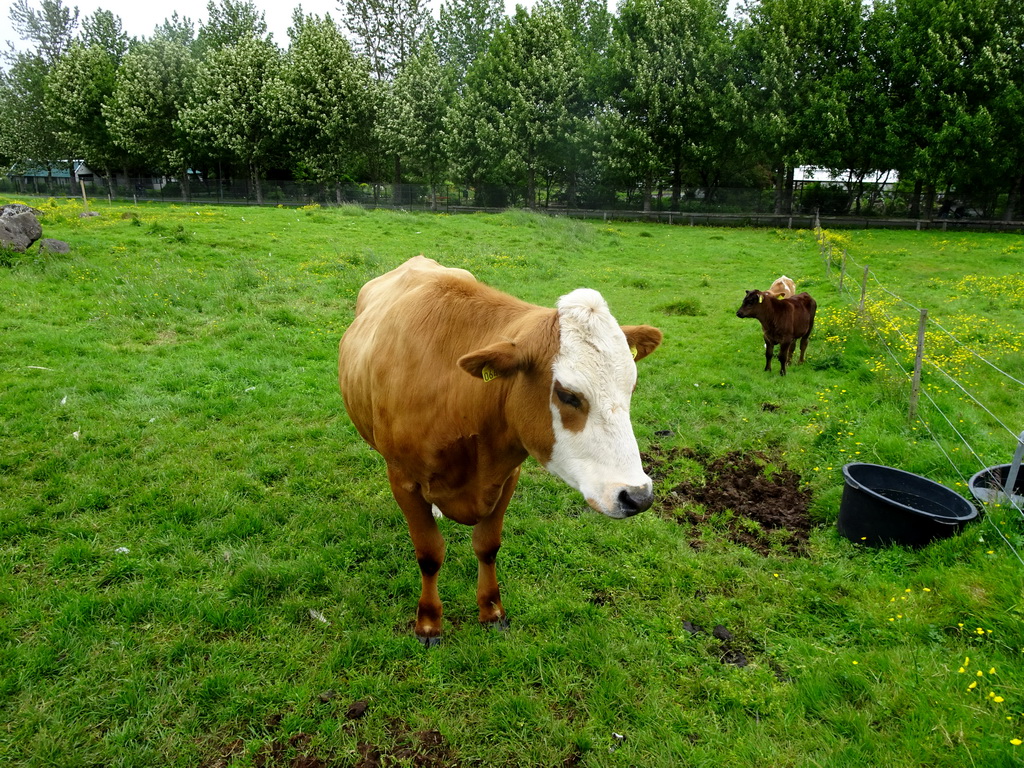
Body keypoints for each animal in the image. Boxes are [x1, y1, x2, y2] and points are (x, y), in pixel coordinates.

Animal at [337, 257, 663, 643]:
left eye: (631, 387)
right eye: (567, 395)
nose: (638, 495)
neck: (458, 400)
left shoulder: (506, 476)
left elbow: (487, 546)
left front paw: (491, 610)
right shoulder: (403, 480)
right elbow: (429, 554)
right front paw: (429, 621)